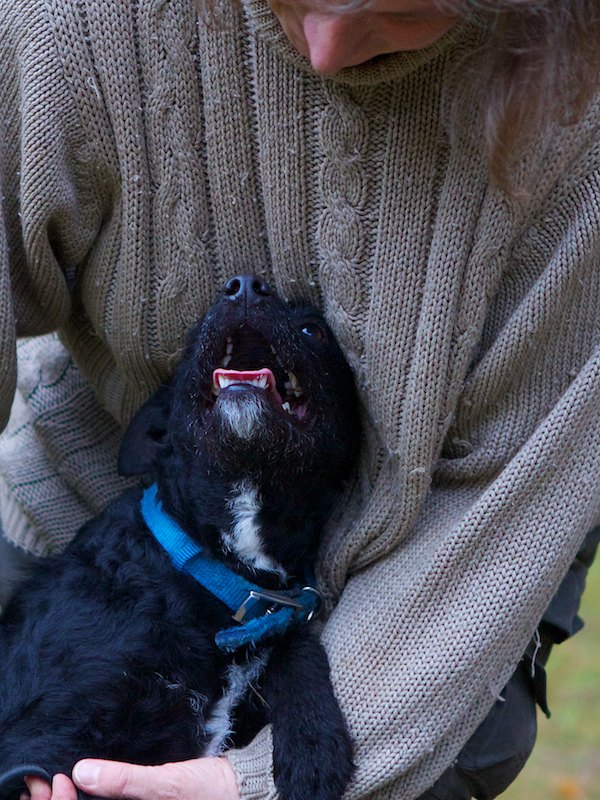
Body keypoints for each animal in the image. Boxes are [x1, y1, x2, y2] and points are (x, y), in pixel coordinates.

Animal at [0, 276, 359, 800]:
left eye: (314, 329)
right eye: (192, 340)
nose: (246, 286)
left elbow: (295, 645)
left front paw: (313, 741)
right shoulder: (40, 745)